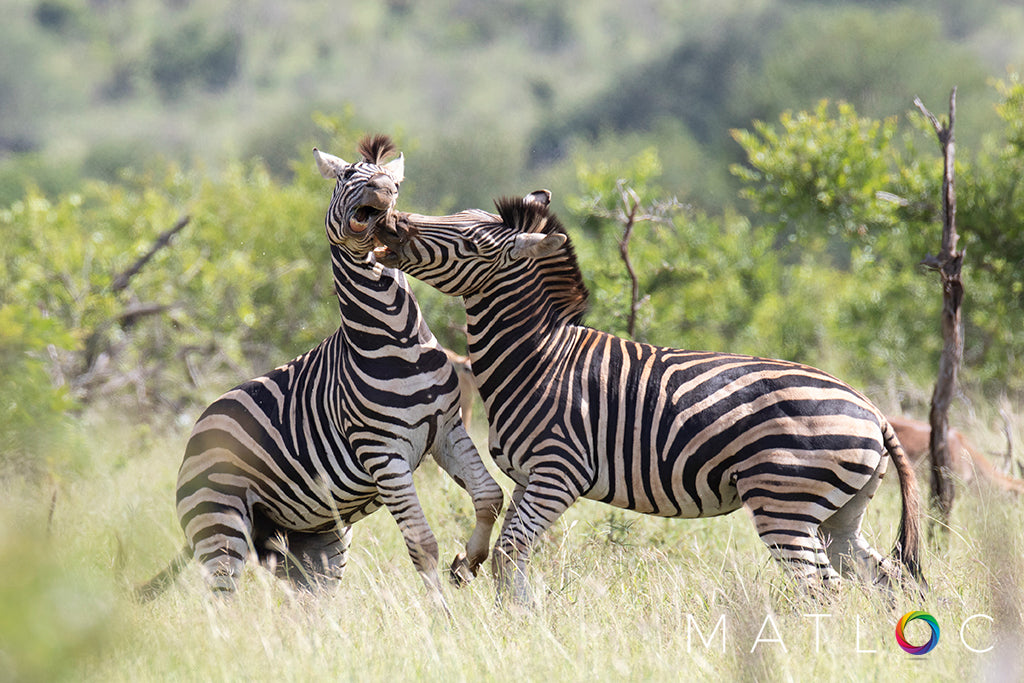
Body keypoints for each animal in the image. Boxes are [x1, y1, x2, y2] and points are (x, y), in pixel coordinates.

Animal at [136, 137, 503, 610]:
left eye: (396, 183)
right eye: (347, 177)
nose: (383, 191)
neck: (397, 336)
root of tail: (198, 428)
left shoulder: (447, 429)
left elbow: (489, 497)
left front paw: (468, 563)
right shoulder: (383, 452)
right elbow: (423, 544)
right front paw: (442, 617)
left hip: (315, 539)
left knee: (307, 607)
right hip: (220, 524)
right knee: (222, 603)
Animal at [376, 192, 929, 602]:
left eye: (470, 241)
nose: (390, 224)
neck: (539, 359)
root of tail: (872, 411)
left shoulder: (558, 472)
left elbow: (511, 552)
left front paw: (518, 624)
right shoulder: (528, 478)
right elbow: (507, 553)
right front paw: (517, 617)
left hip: (784, 502)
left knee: (821, 589)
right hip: (840, 515)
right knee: (884, 579)